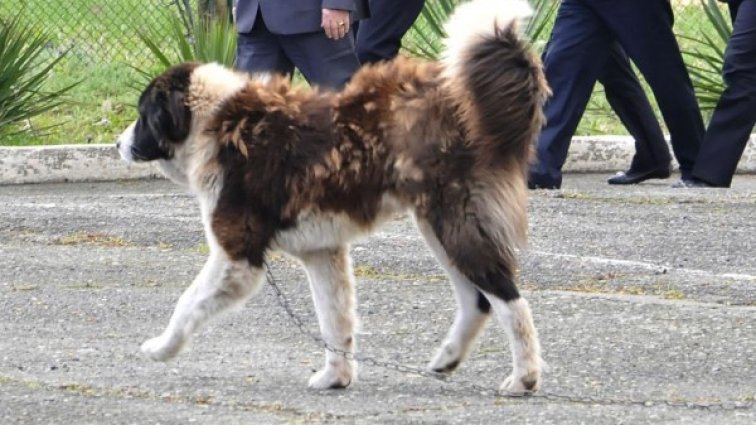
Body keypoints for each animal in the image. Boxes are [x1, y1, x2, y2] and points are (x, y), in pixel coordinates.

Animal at [113, 0, 548, 392]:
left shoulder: (236, 255)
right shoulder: (322, 251)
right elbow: (335, 321)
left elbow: (187, 303)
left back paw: (524, 377)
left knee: (510, 299)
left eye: (142, 115)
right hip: (436, 226)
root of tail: (457, 93)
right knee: (479, 300)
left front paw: (162, 347)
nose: (118, 143)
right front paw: (336, 377)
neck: (216, 122)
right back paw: (448, 359)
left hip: (453, 222)